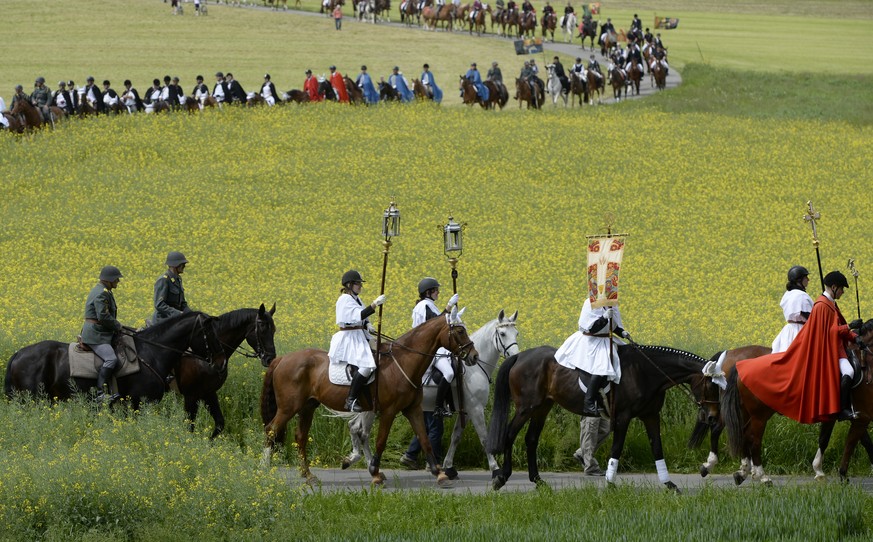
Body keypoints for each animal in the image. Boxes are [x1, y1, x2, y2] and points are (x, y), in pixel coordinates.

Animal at [174, 306, 276, 442]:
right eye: (262, 328)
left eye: (274, 330)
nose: (270, 359)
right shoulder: (190, 395)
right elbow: (189, 425)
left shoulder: (209, 393)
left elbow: (220, 423)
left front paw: (209, 443)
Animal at [260, 306, 476, 488]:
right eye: (459, 331)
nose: (473, 355)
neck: (403, 362)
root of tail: (283, 359)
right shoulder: (388, 411)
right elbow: (381, 440)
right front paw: (375, 472)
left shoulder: (413, 409)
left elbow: (424, 439)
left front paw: (439, 474)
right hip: (289, 407)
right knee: (271, 429)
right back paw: (263, 468)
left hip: (307, 407)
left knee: (301, 436)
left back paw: (308, 475)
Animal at [338, 310, 516, 480]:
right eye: (502, 334)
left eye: (516, 333)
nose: (474, 356)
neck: (475, 369)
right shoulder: (475, 409)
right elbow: (485, 439)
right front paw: (496, 470)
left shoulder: (466, 410)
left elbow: (456, 437)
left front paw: (448, 467)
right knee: (360, 431)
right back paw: (368, 466)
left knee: (357, 428)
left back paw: (360, 463)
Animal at [488, 346, 712, 496]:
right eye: (711, 385)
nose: (710, 416)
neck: (646, 371)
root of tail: (519, 355)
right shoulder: (622, 417)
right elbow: (617, 449)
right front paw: (610, 484)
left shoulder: (650, 416)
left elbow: (657, 448)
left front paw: (670, 484)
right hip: (526, 407)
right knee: (510, 434)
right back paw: (501, 477)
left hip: (542, 407)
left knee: (531, 439)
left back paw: (537, 480)